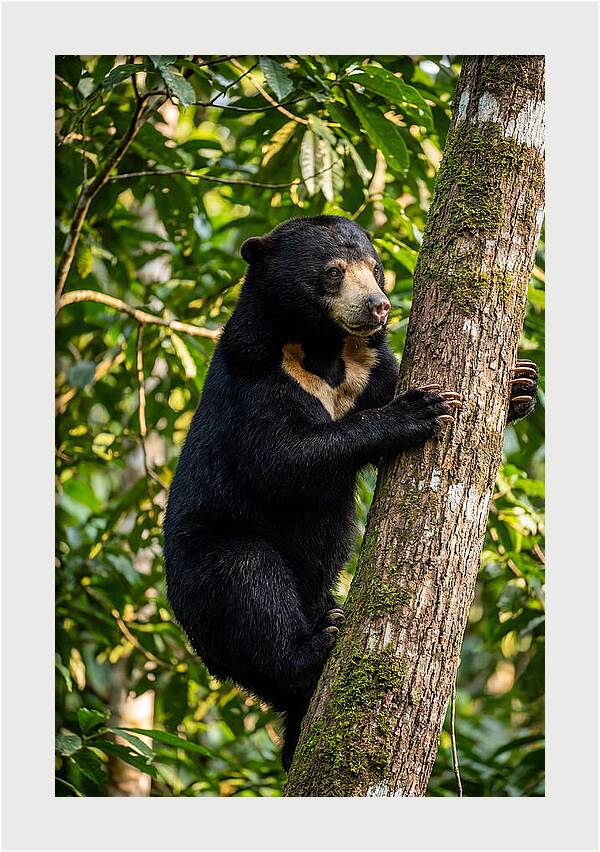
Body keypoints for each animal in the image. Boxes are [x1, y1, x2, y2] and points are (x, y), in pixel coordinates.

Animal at [163, 215, 537, 771]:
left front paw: (519, 385)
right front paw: (418, 409)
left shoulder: (368, 366)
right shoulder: (255, 375)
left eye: (377, 269)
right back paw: (318, 642)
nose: (379, 306)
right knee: (247, 578)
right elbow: (279, 460)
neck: (322, 348)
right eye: (334, 272)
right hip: (204, 565)